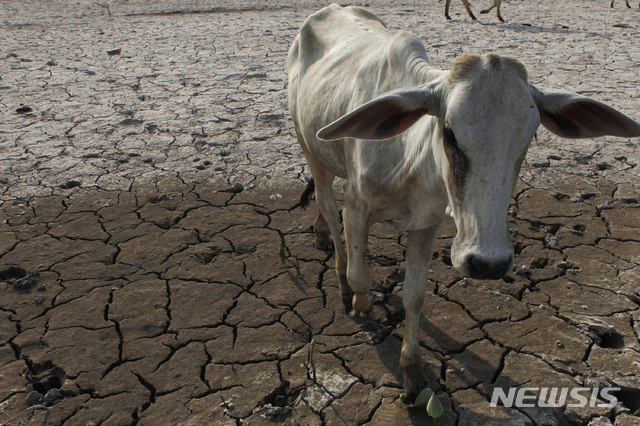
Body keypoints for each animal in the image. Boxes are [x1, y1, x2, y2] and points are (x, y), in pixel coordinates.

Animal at [288, 4, 640, 400]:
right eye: (449, 133)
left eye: (530, 137)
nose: (488, 264)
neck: (410, 155)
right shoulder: (356, 206)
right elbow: (360, 275)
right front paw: (360, 304)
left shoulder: (426, 224)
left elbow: (414, 296)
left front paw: (412, 370)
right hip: (311, 151)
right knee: (327, 207)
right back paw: (333, 259)